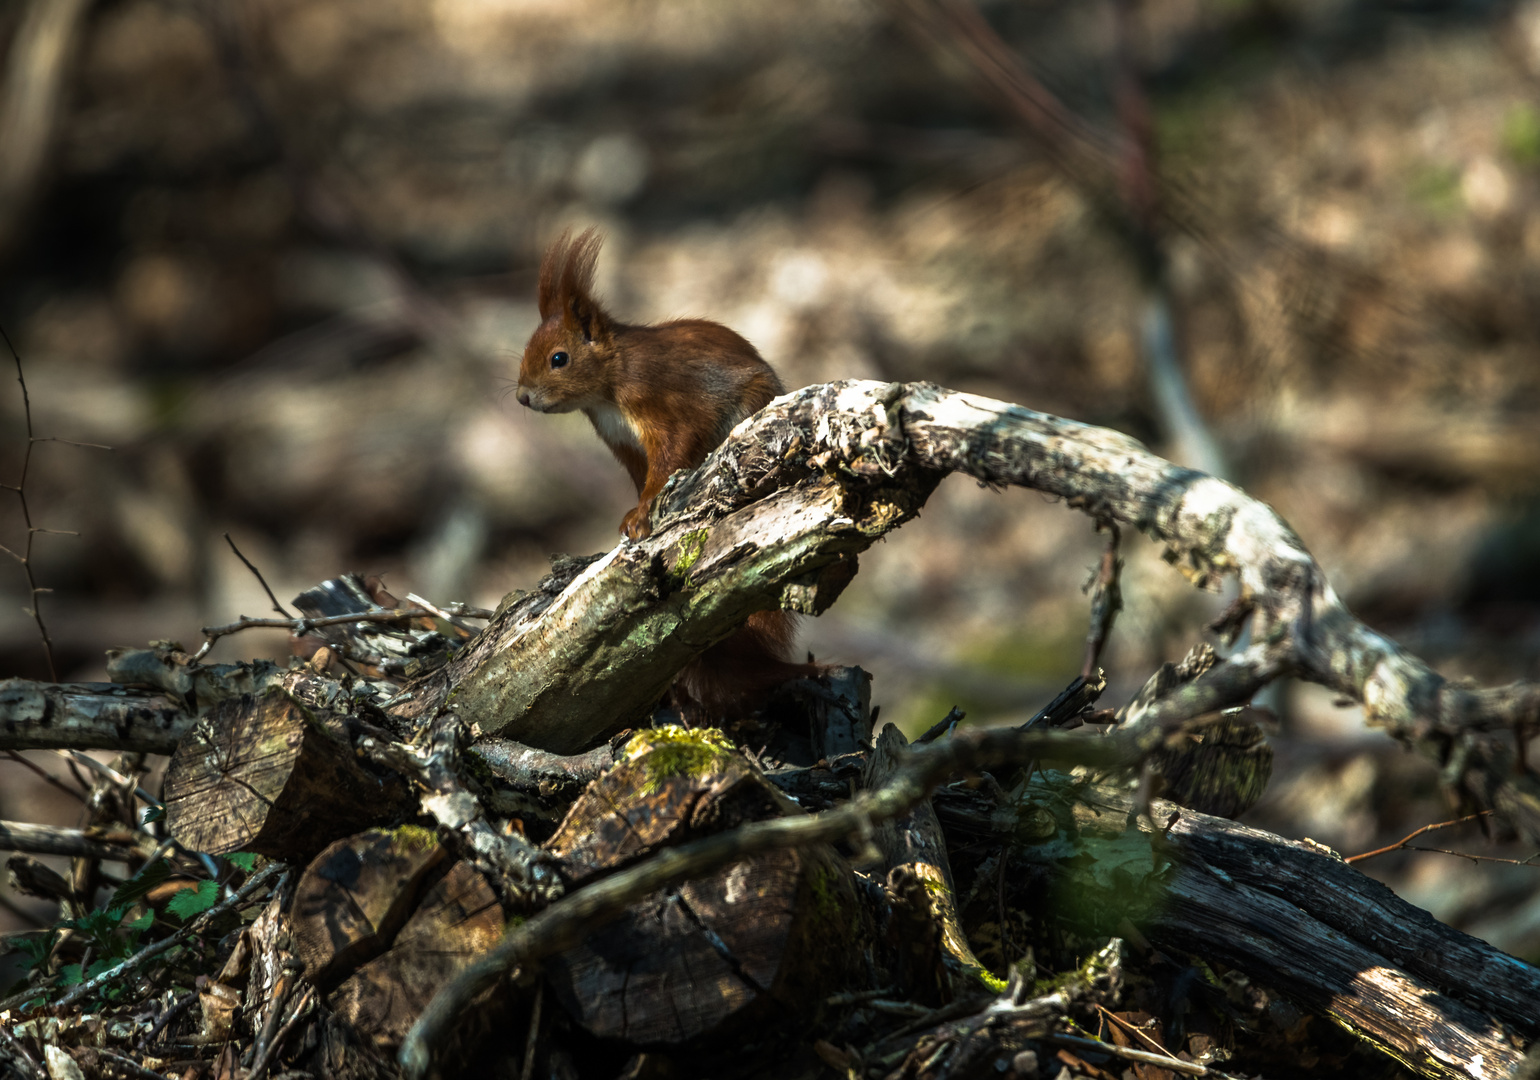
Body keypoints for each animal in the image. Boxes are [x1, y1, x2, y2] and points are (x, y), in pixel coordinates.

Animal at [517, 228, 819, 714]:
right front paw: (631, 516)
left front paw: (642, 515)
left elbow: (670, 455)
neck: (609, 384)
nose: (522, 397)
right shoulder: (622, 443)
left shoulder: (667, 403)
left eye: (558, 359)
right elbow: (643, 474)